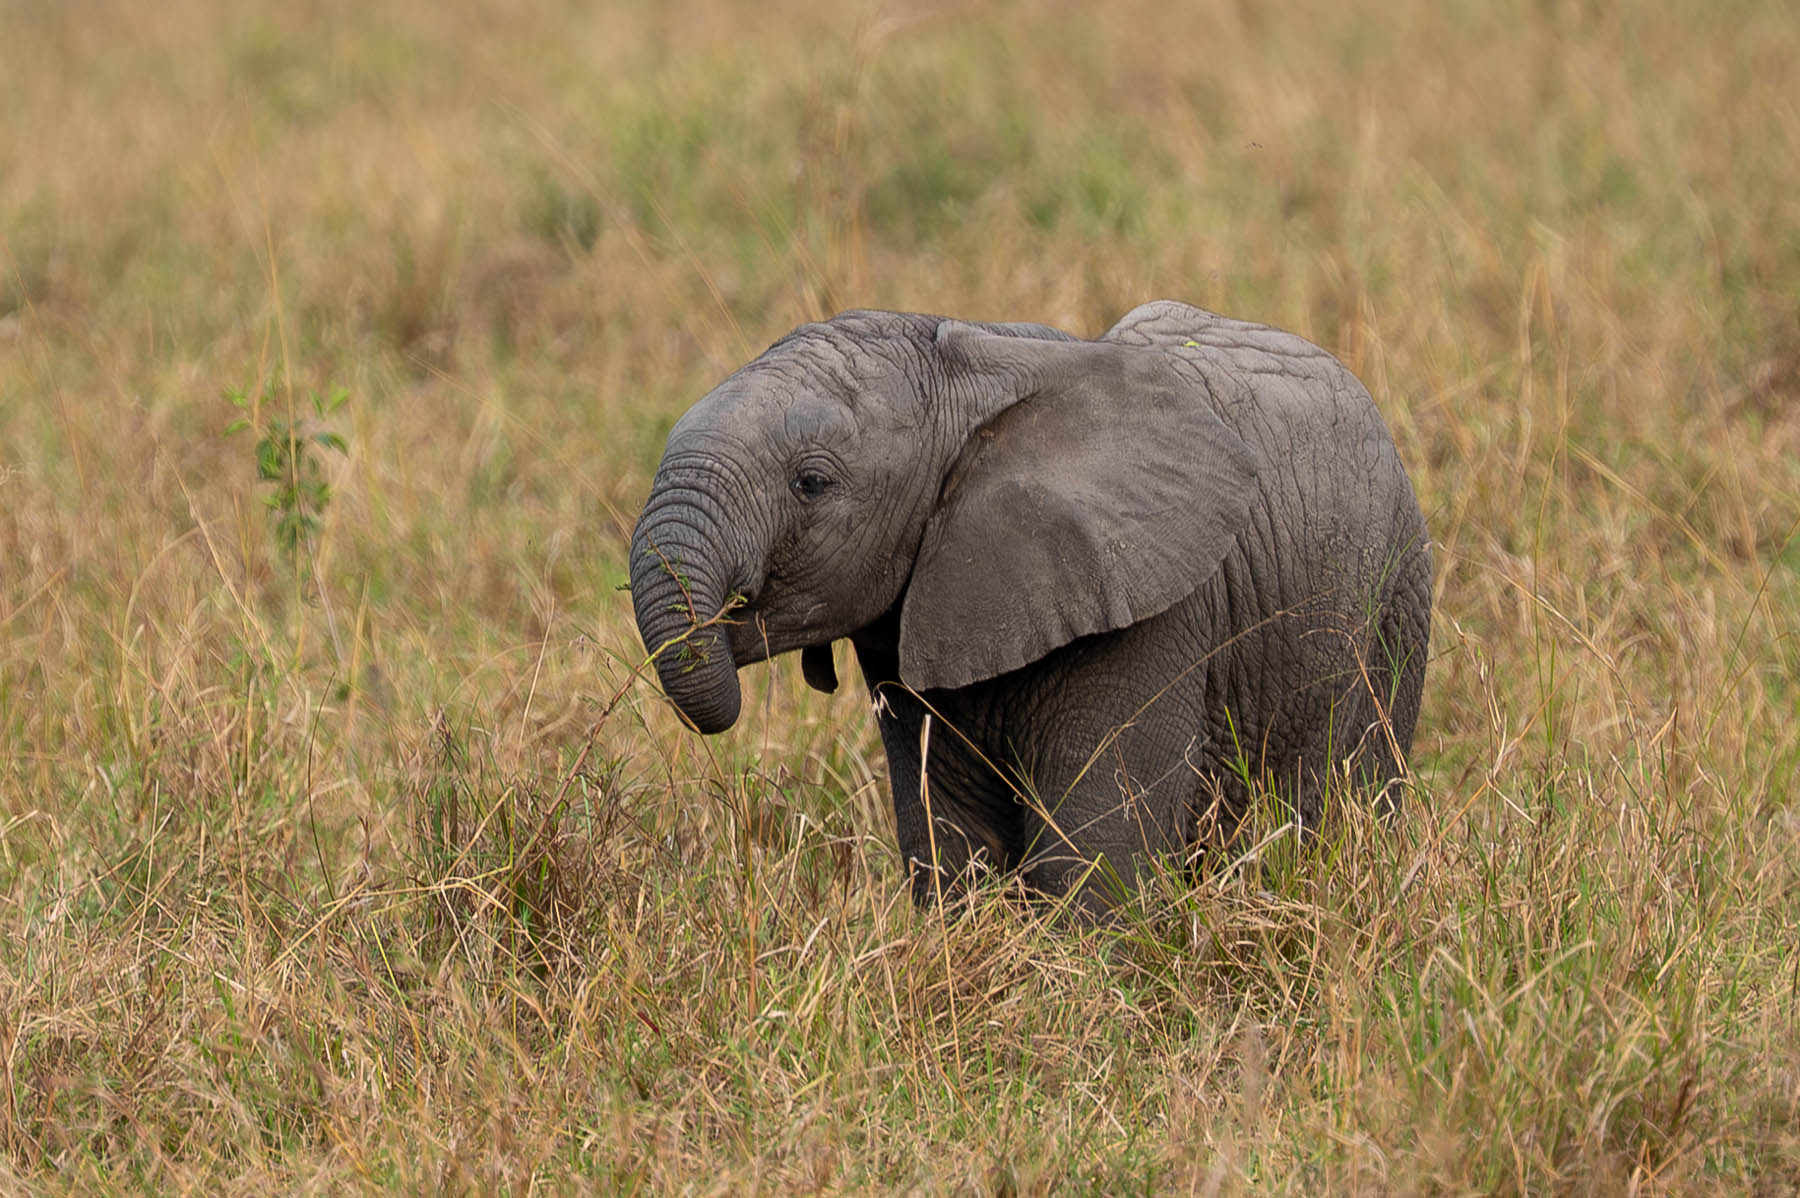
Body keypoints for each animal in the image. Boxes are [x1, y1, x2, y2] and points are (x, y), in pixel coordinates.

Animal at [629, 300, 1431, 911]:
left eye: (812, 483)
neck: (975, 373)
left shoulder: (1150, 610)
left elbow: (1096, 855)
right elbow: (952, 839)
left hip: (1394, 606)